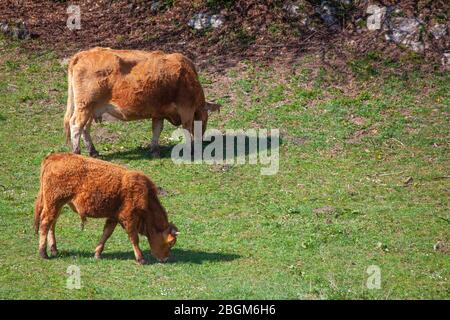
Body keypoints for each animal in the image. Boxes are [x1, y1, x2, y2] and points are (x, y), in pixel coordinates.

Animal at [34, 152, 178, 264]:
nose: (165, 259)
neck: (145, 195)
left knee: (52, 223)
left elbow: (106, 234)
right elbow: (134, 238)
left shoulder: (113, 217)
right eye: (171, 242)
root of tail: (54, 156)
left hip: (57, 205)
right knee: (45, 223)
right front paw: (141, 259)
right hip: (53, 203)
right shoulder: (128, 218)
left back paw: (54, 249)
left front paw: (97, 254)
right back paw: (43, 253)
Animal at [63, 47, 221, 157]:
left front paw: (155, 150)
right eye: (205, 120)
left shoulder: (159, 112)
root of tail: (83, 54)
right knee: (76, 125)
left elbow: (157, 129)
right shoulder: (186, 107)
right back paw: (76, 152)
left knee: (85, 128)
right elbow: (187, 128)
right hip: (85, 105)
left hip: (91, 108)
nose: (202, 140)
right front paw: (190, 148)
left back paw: (93, 151)